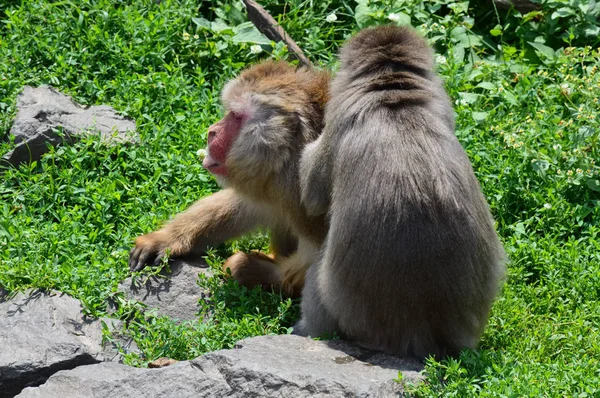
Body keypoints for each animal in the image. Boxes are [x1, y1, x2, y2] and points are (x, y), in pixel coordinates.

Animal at [128, 60, 330, 296]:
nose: (211, 131)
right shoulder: (276, 181)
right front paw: (166, 239)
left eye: (236, 116)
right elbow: (249, 206)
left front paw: (247, 269)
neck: (293, 154)